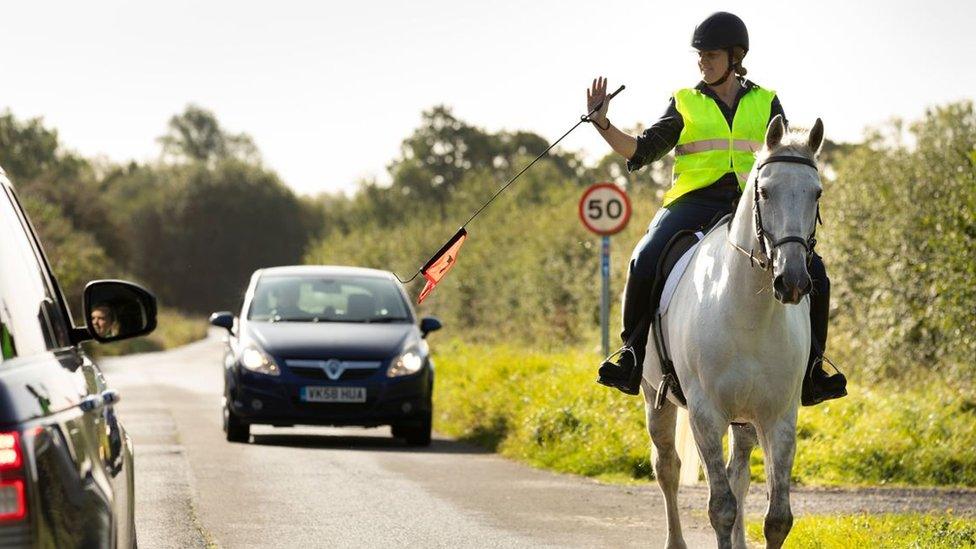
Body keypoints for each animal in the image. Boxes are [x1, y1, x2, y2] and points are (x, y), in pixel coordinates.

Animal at [644, 115, 828, 548]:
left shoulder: (779, 417)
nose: (792, 281)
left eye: (816, 193)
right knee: (667, 467)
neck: (750, 314)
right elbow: (721, 508)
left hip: (745, 420)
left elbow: (777, 517)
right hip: (654, 397)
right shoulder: (706, 415)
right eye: (764, 191)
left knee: (738, 474)